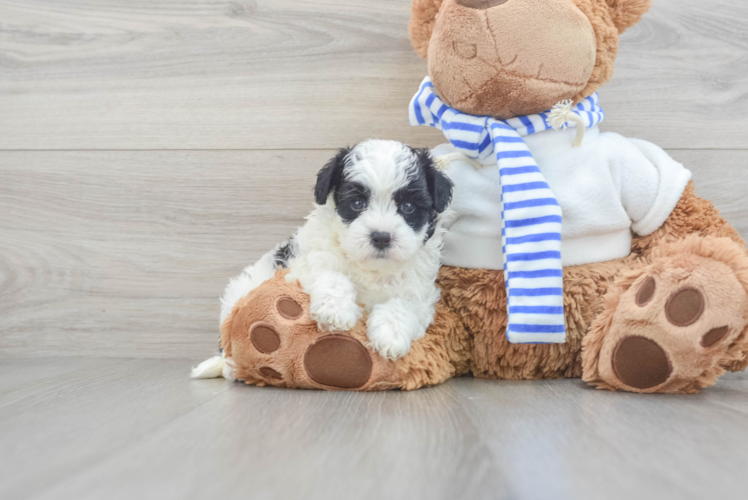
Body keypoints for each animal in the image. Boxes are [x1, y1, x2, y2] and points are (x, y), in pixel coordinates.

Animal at [190, 138, 452, 378]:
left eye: (408, 206)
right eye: (357, 203)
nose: (381, 237)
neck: (371, 268)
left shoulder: (420, 290)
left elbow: (403, 303)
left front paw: (390, 335)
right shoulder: (305, 263)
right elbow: (332, 275)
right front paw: (337, 310)